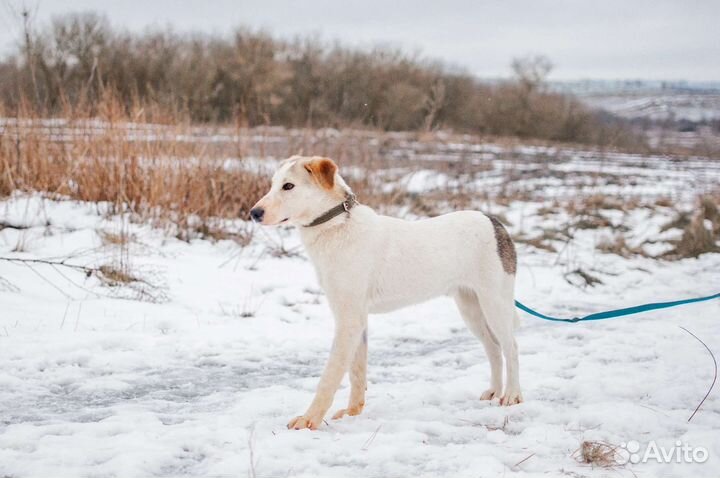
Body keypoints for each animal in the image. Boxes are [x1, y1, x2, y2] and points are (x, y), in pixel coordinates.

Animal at [250, 156, 520, 430]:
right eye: (273, 184)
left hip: (494, 303)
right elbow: (357, 372)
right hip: (470, 308)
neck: (335, 225)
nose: (254, 213)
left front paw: (309, 419)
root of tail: (494, 221)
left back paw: (512, 394)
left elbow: (330, 376)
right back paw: (494, 391)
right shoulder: (357, 320)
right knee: (493, 349)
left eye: (288, 186)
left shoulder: (348, 320)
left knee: (511, 346)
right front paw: (352, 413)